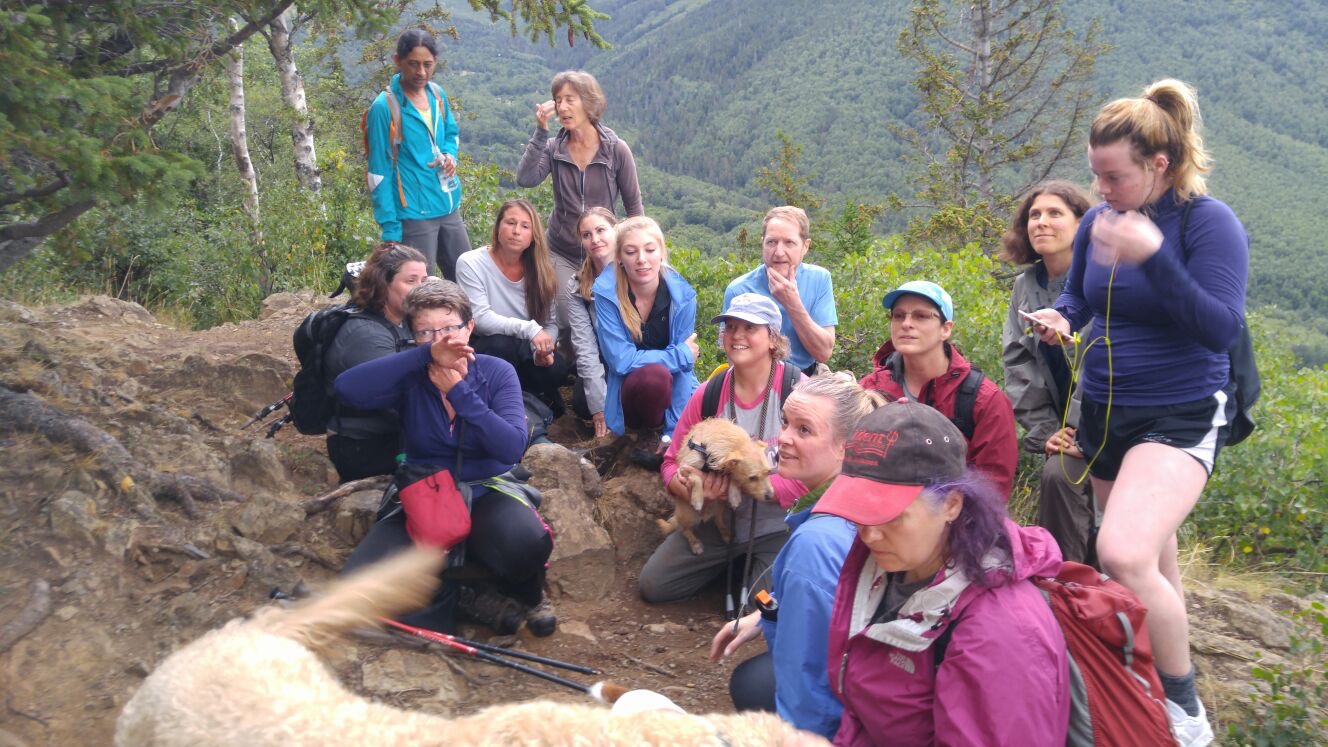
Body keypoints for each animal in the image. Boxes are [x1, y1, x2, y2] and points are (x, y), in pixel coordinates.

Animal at [658, 417, 775, 555]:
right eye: (752, 478)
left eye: (768, 472)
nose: (771, 496)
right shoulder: (684, 469)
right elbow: (697, 477)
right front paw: (698, 499)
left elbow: (732, 476)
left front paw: (734, 495)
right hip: (688, 516)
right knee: (684, 529)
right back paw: (695, 543)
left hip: (720, 506)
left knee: (718, 521)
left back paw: (726, 534)